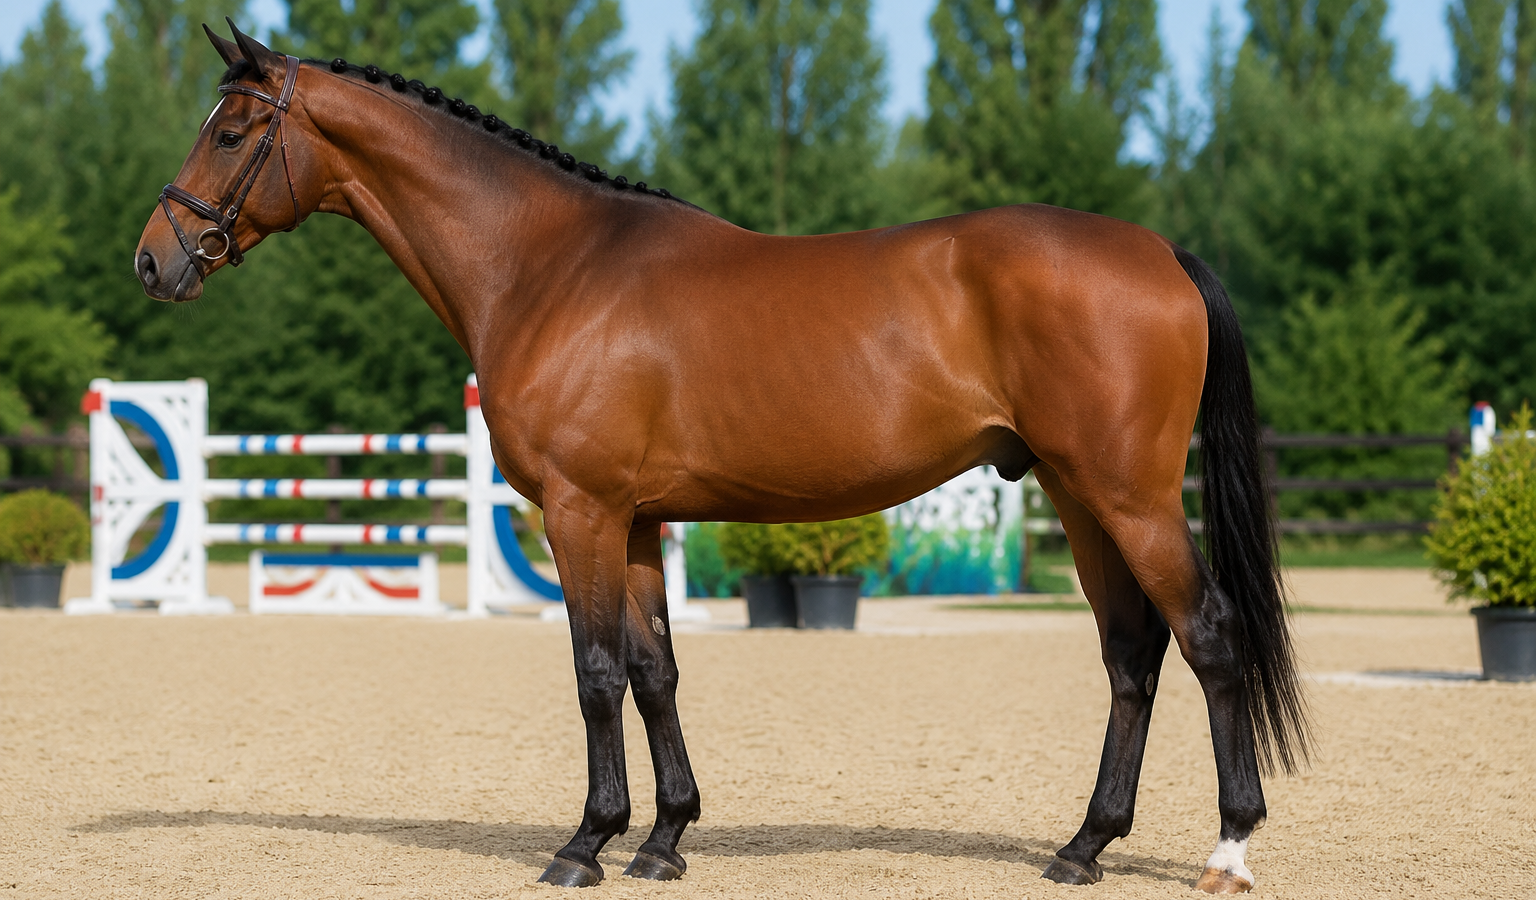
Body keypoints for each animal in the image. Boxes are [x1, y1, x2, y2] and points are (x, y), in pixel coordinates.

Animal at [135, 22, 1308, 893]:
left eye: (232, 132)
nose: (155, 260)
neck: (550, 267)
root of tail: (1162, 253)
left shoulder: (581, 510)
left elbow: (595, 672)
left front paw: (584, 844)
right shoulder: (638, 519)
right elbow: (656, 670)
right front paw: (663, 840)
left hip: (1130, 495)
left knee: (1207, 637)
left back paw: (1228, 848)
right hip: (1077, 494)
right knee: (1130, 655)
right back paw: (1082, 846)